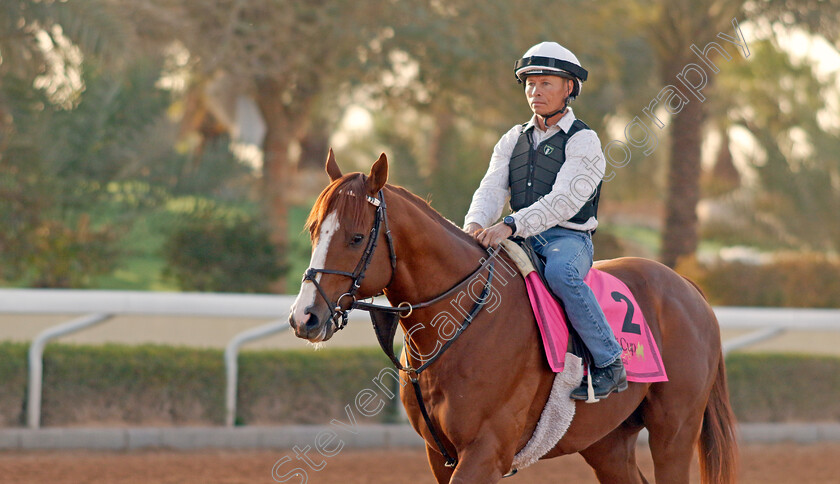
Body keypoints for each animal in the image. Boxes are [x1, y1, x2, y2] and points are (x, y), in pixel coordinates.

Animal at [288, 149, 736, 482]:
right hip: (608, 442)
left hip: (673, 433)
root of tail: (687, 287)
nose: (305, 317)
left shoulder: (485, 452)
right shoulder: (440, 454)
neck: (463, 322)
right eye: (312, 230)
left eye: (355, 237)